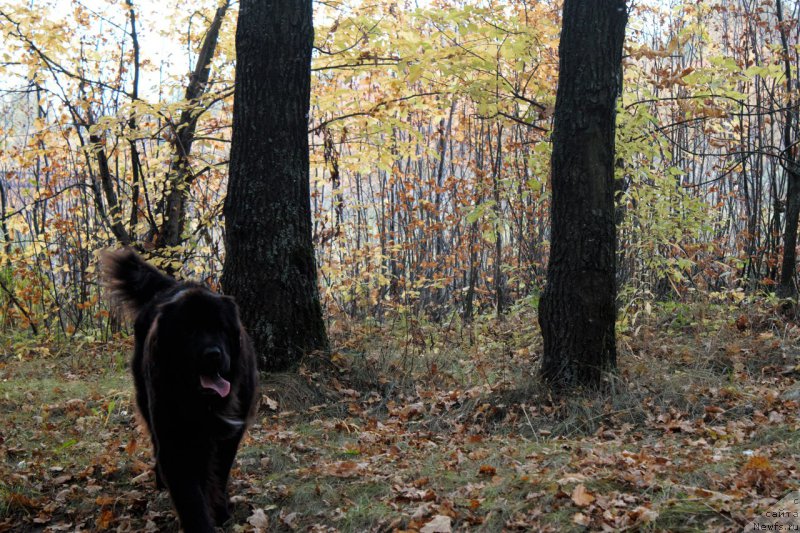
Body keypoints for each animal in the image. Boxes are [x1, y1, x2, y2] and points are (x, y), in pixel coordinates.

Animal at [103, 249, 258, 532]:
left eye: (220, 328)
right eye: (189, 331)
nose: (213, 354)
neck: (202, 403)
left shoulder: (230, 432)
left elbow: (219, 473)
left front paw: (220, 511)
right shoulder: (173, 435)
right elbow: (189, 494)